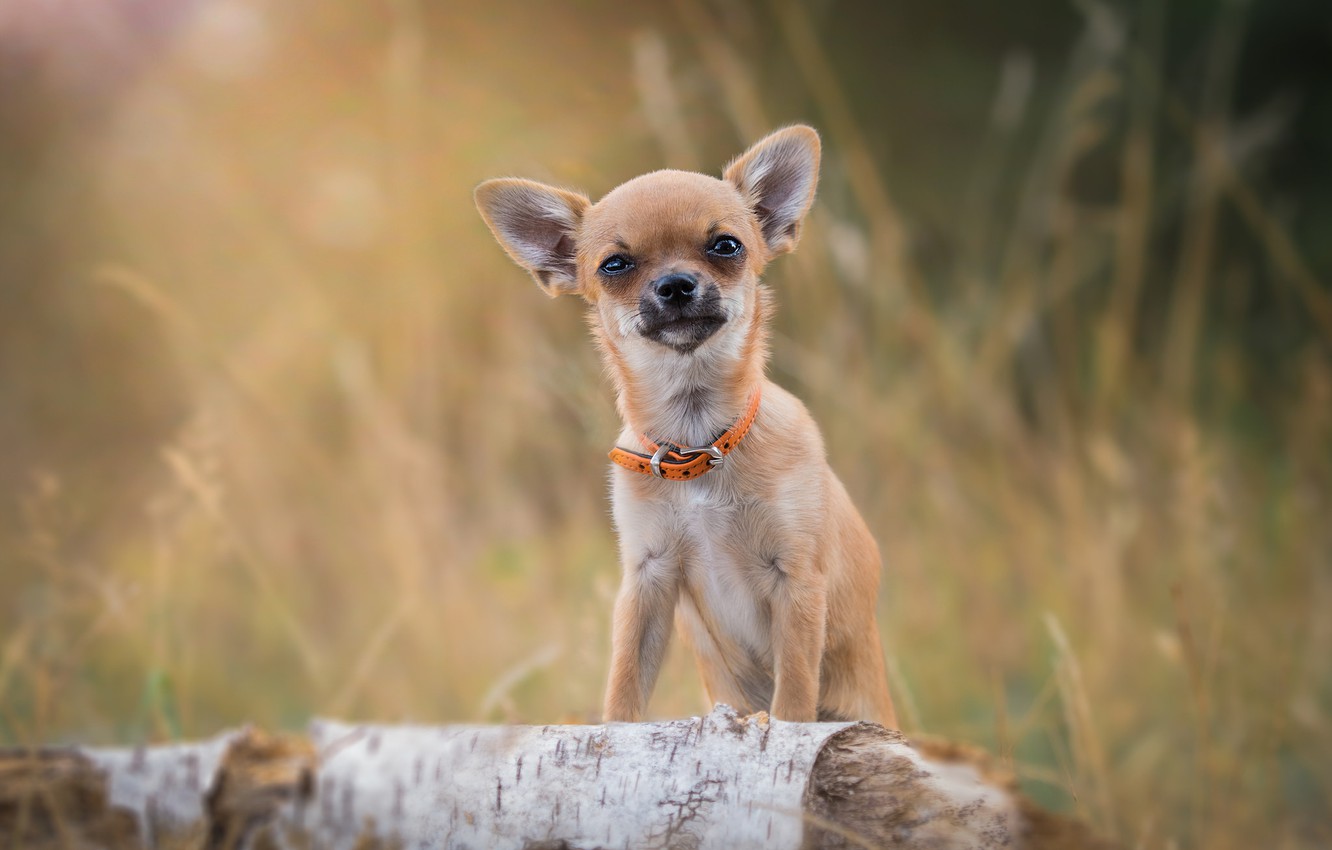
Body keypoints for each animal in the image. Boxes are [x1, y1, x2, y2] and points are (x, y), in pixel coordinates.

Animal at [474, 129, 900, 730]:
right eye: (615, 264)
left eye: (726, 246)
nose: (676, 284)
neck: (697, 442)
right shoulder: (647, 578)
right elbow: (625, 679)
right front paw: (615, 731)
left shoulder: (797, 581)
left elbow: (794, 688)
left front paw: (782, 725)